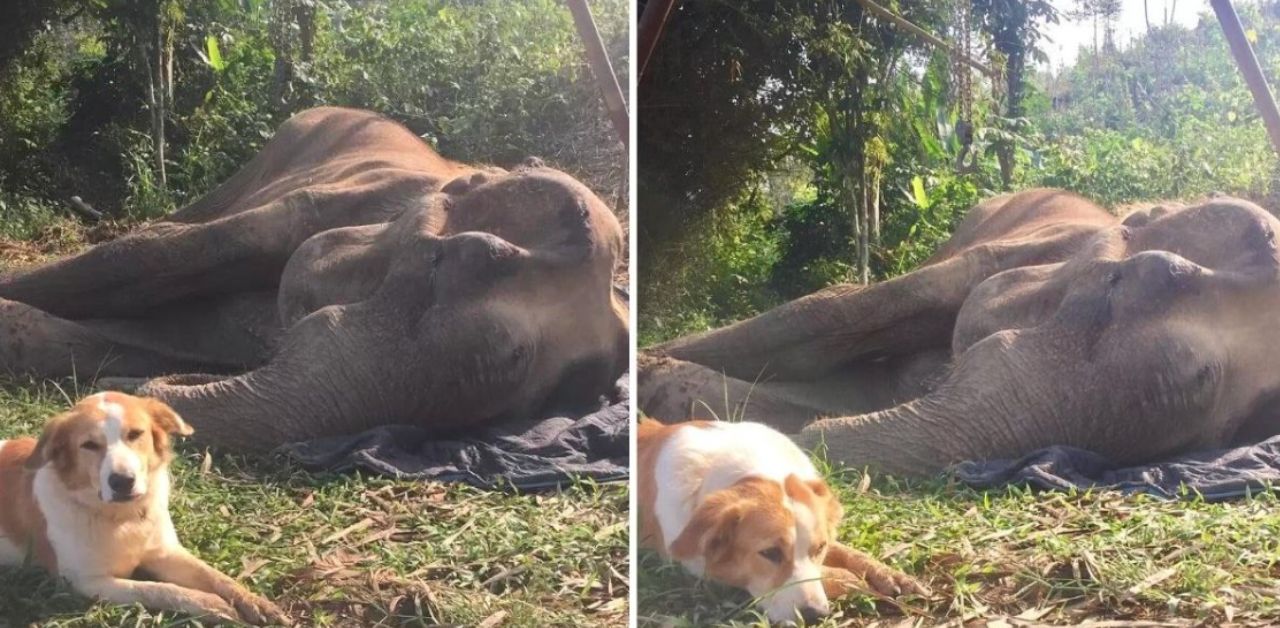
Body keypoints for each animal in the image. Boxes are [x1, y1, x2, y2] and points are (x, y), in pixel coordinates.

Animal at [0, 106, 629, 452]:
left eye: (553, 394)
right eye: (451, 263)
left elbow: (159, 335)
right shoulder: (328, 204)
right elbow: (145, 258)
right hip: (280, 146)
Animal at [0, 393, 290, 624]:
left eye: (135, 434)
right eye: (89, 445)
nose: (122, 481)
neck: (122, 518)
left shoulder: (166, 551)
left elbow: (217, 576)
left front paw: (256, 603)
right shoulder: (86, 581)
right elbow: (157, 589)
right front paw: (212, 605)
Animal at [640, 416, 931, 624]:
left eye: (819, 548)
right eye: (770, 553)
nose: (815, 617)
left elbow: (849, 553)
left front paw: (890, 575)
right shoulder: (700, 567)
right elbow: (839, 575)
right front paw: (856, 582)